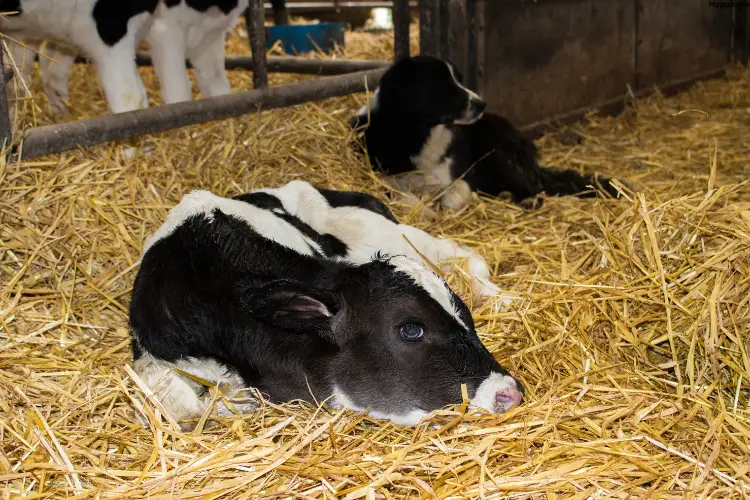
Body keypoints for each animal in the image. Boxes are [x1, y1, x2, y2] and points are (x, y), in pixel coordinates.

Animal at [129, 180, 524, 430]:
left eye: (466, 317)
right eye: (411, 329)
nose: (509, 393)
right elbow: (173, 398)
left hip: (380, 231)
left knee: (461, 255)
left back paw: (500, 296)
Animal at [350, 55, 632, 211]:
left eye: (459, 79)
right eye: (443, 85)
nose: (481, 104)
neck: (421, 134)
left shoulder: (463, 175)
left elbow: (454, 193)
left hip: (495, 152)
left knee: (533, 187)